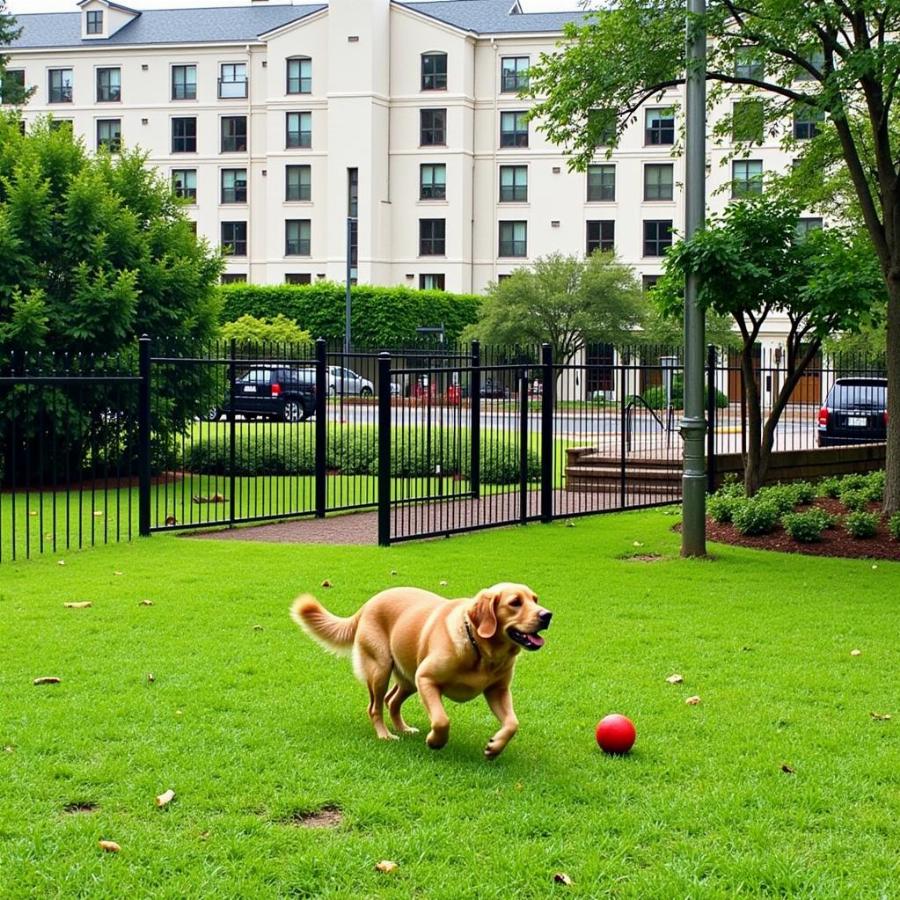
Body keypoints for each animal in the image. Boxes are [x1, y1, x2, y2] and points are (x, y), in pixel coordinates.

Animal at [292, 584, 552, 760]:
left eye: (535, 599)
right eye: (515, 602)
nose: (547, 615)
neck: (480, 649)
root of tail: (367, 605)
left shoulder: (498, 691)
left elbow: (512, 723)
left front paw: (494, 747)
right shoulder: (426, 679)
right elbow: (441, 719)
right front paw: (435, 741)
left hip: (408, 678)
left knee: (392, 701)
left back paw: (403, 728)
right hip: (381, 669)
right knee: (375, 707)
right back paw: (385, 735)